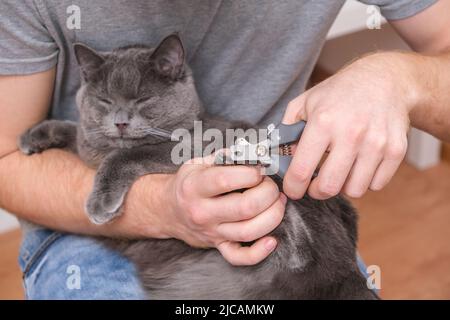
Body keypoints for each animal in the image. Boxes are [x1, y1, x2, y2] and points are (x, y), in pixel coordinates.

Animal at [18, 35, 376, 300]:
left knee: (300, 245)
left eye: (144, 99)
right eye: (104, 100)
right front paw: (34, 136)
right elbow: (74, 131)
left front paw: (100, 203)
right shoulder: (87, 144)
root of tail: (345, 274)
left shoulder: (185, 147)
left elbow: (126, 156)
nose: (120, 122)